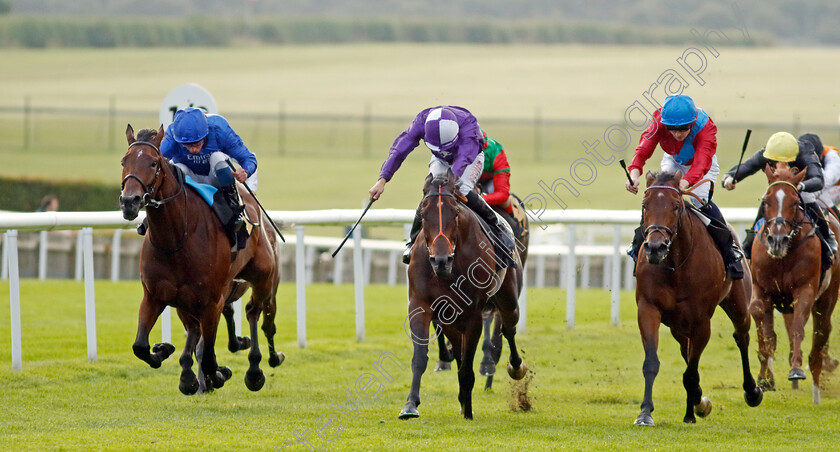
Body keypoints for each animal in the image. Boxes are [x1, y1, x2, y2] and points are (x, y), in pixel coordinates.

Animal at [119, 125, 286, 394]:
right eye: (124, 161)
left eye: (154, 163)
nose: (129, 202)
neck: (176, 240)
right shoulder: (155, 296)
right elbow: (140, 346)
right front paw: (164, 351)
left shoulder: (212, 303)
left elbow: (208, 357)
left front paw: (217, 374)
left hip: (263, 279)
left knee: (256, 313)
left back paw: (257, 369)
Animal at [398, 170, 524, 420]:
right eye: (422, 214)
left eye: (455, 213)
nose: (440, 260)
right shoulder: (421, 306)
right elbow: (420, 357)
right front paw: (410, 405)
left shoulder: (473, 315)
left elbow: (467, 365)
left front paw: (468, 411)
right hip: (449, 319)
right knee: (458, 350)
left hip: (508, 298)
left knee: (508, 328)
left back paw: (515, 367)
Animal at [636, 171, 760, 426]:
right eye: (645, 205)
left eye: (676, 206)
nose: (655, 247)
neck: (675, 265)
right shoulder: (648, 308)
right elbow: (652, 363)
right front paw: (645, 413)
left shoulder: (702, 321)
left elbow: (691, 372)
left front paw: (694, 409)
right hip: (677, 325)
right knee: (686, 349)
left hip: (738, 304)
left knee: (741, 336)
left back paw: (751, 391)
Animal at [748, 162, 840, 402]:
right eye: (766, 201)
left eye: (795, 202)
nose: (777, 240)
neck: (783, 256)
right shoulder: (761, 289)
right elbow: (762, 323)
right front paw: (764, 377)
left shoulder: (805, 290)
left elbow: (799, 326)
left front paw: (796, 369)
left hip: (828, 297)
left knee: (822, 330)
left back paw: (817, 379)